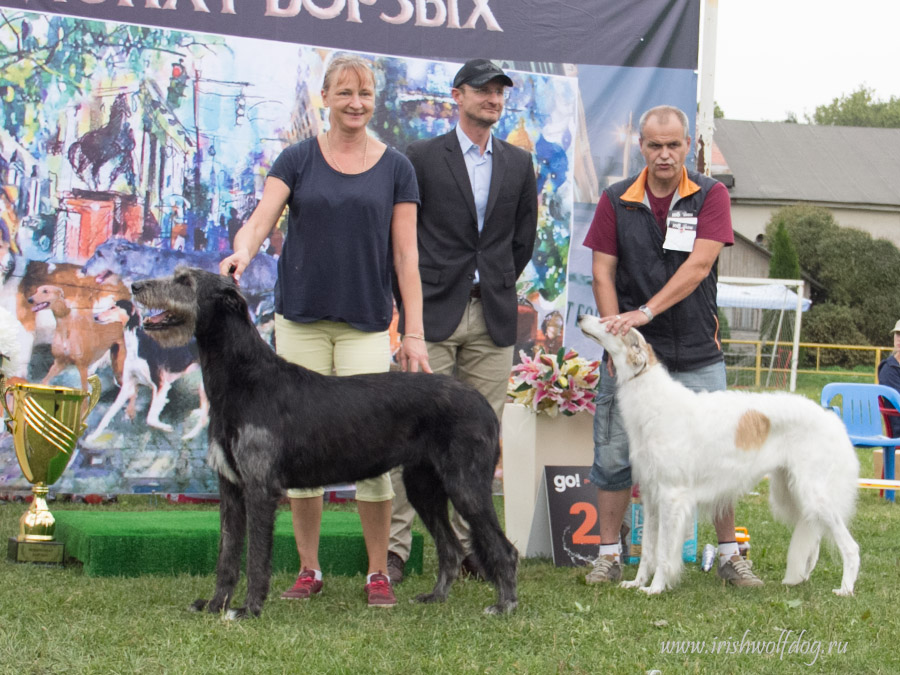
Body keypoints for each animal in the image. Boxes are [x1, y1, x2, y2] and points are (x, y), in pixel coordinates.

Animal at [576, 316, 856, 596]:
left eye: (610, 323)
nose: (581, 318)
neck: (654, 401)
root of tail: (830, 417)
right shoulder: (650, 494)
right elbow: (647, 550)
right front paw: (637, 582)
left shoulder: (671, 495)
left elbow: (664, 552)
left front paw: (655, 588)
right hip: (790, 492)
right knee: (814, 537)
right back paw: (802, 577)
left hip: (812, 493)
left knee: (850, 546)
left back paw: (845, 589)